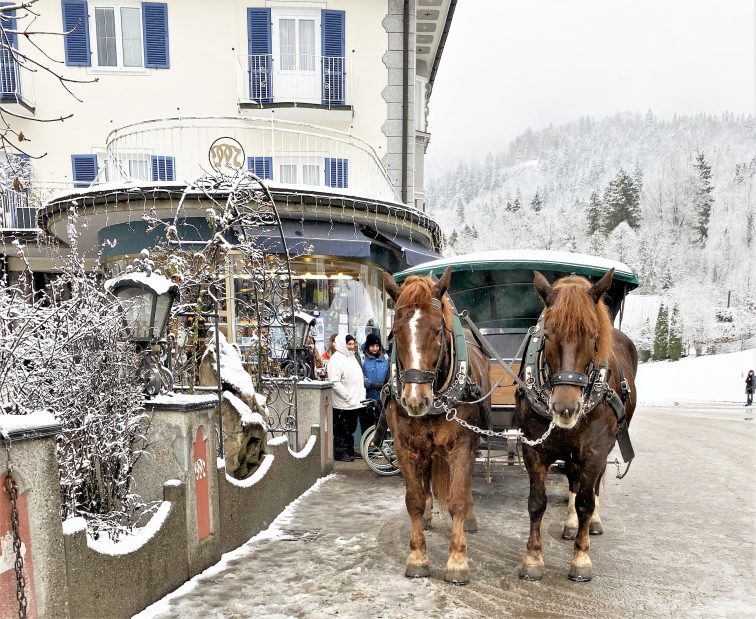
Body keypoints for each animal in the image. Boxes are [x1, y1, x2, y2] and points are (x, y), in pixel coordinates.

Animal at [384, 268, 490, 588]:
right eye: (396, 330)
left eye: (437, 330)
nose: (415, 399)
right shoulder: (405, 446)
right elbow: (414, 500)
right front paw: (417, 557)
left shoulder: (462, 444)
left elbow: (457, 499)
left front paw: (457, 561)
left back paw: (470, 518)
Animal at [516, 268, 636, 584]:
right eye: (547, 334)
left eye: (593, 335)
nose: (565, 407)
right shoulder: (533, 449)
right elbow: (537, 502)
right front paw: (533, 559)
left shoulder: (594, 451)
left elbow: (585, 501)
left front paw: (581, 559)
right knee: (573, 477)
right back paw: (570, 524)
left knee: (591, 486)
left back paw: (592, 523)